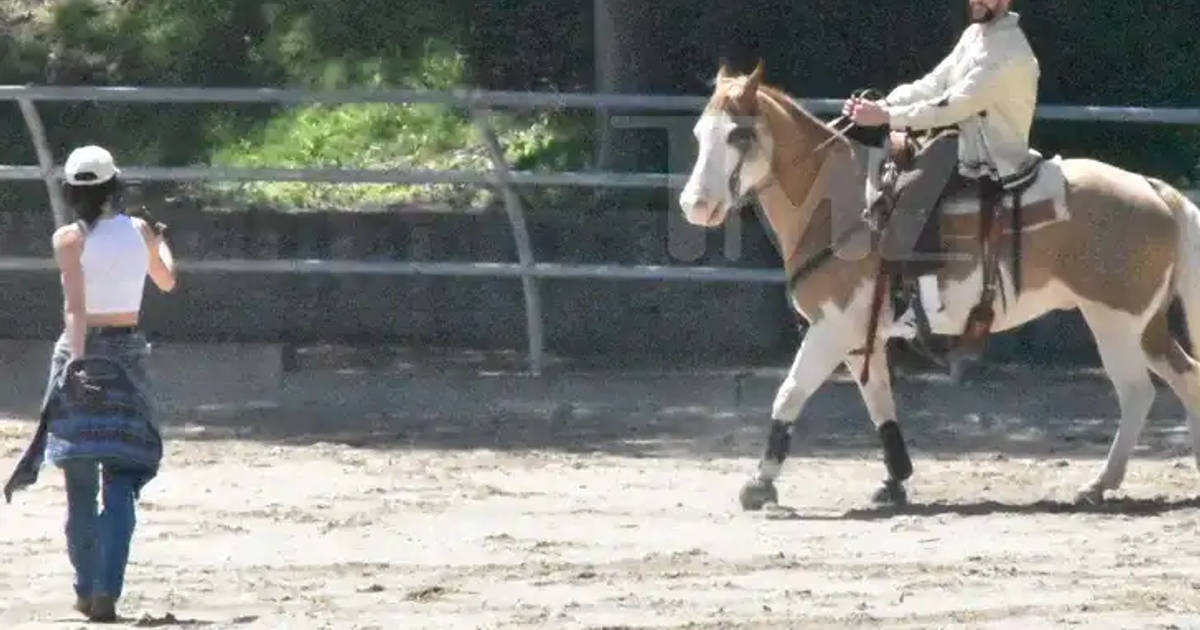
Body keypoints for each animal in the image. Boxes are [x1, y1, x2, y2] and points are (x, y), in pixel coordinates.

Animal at [681, 62, 1200, 506]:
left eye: (738, 134)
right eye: (699, 134)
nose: (695, 205)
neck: (840, 206)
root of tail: (1156, 189)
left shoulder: (831, 328)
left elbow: (790, 393)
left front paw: (759, 483)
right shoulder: (860, 336)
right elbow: (879, 402)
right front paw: (894, 480)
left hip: (1114, 322)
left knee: (1137, 392)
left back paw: (1099, 483)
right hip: (1146, 326)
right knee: (1186, 377)